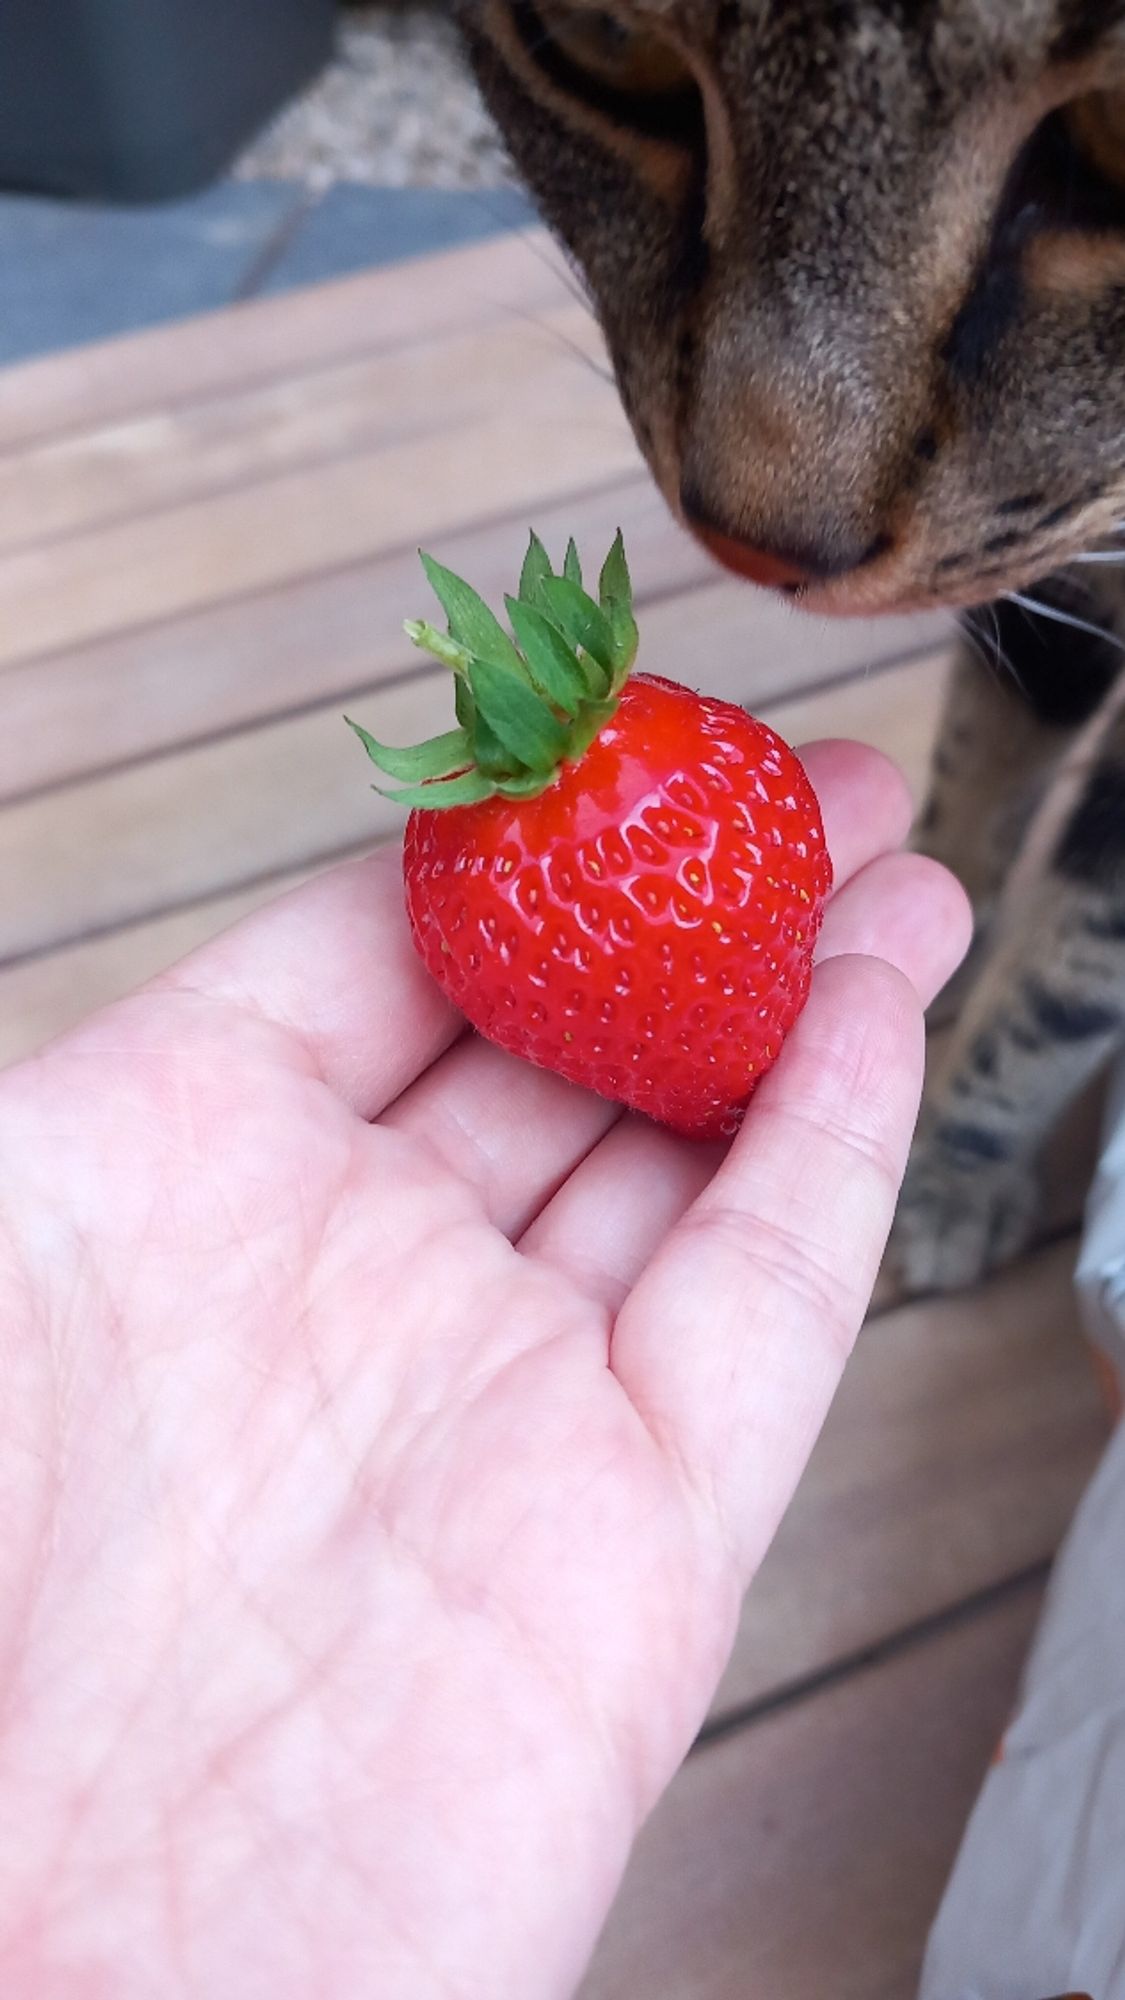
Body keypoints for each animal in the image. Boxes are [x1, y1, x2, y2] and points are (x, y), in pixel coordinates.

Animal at [452, 0, 1120, 1296]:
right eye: (603, 39)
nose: (756, 538)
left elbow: (1075, 969)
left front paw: (949, 1168)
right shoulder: (1048, 589)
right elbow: (977, 783)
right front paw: (942, 952)